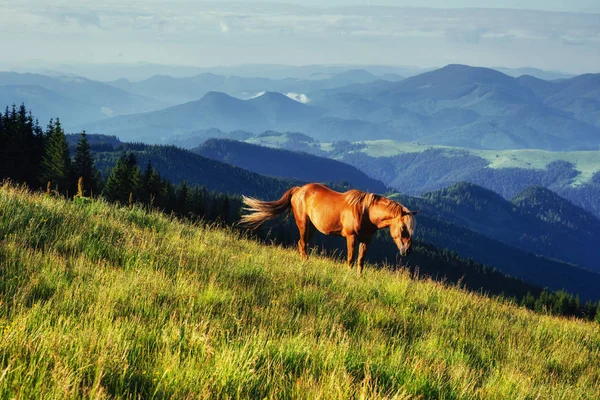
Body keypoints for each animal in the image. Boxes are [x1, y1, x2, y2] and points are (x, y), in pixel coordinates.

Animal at [239, 183, 418, 274]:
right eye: (403, 227)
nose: (407, 251)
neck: (366, 212)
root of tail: (298, 190)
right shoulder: (351, 237)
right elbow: (351, 259)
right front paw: (349, 276)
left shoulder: (366, 240)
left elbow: (361, 261)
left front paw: (359, 278)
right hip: (303, 224)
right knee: (302, 244)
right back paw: (305, 264)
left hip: (312, 228)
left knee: (301, 243)